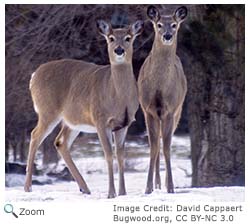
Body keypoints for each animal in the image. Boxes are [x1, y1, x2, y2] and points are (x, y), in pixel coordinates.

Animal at [24, 19, 145, 198]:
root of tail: (33, 76)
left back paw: (85, 188)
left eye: (128, 38)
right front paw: (111, 193)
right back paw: (28, 187)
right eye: (110, 38)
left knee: (60, 142)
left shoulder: (124, 124)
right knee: (35, 136)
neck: (118, 96)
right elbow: (108, 154)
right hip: (48, 111)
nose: (119, 50)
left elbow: (121, 155)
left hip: (72, 120)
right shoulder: (100, 120)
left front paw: (123, 192)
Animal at [139, 5, 188, 194]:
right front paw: (148, 188)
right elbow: (153, 148)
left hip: (178, 111)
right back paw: (158, 183)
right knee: (158, 144)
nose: (167, 35)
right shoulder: (148, 110)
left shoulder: (170, 110)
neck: (160, 87)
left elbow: (167, 147)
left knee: (166, 142)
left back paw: (164, 183)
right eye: (159, 25)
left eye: (174, 25)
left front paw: (171, 187)